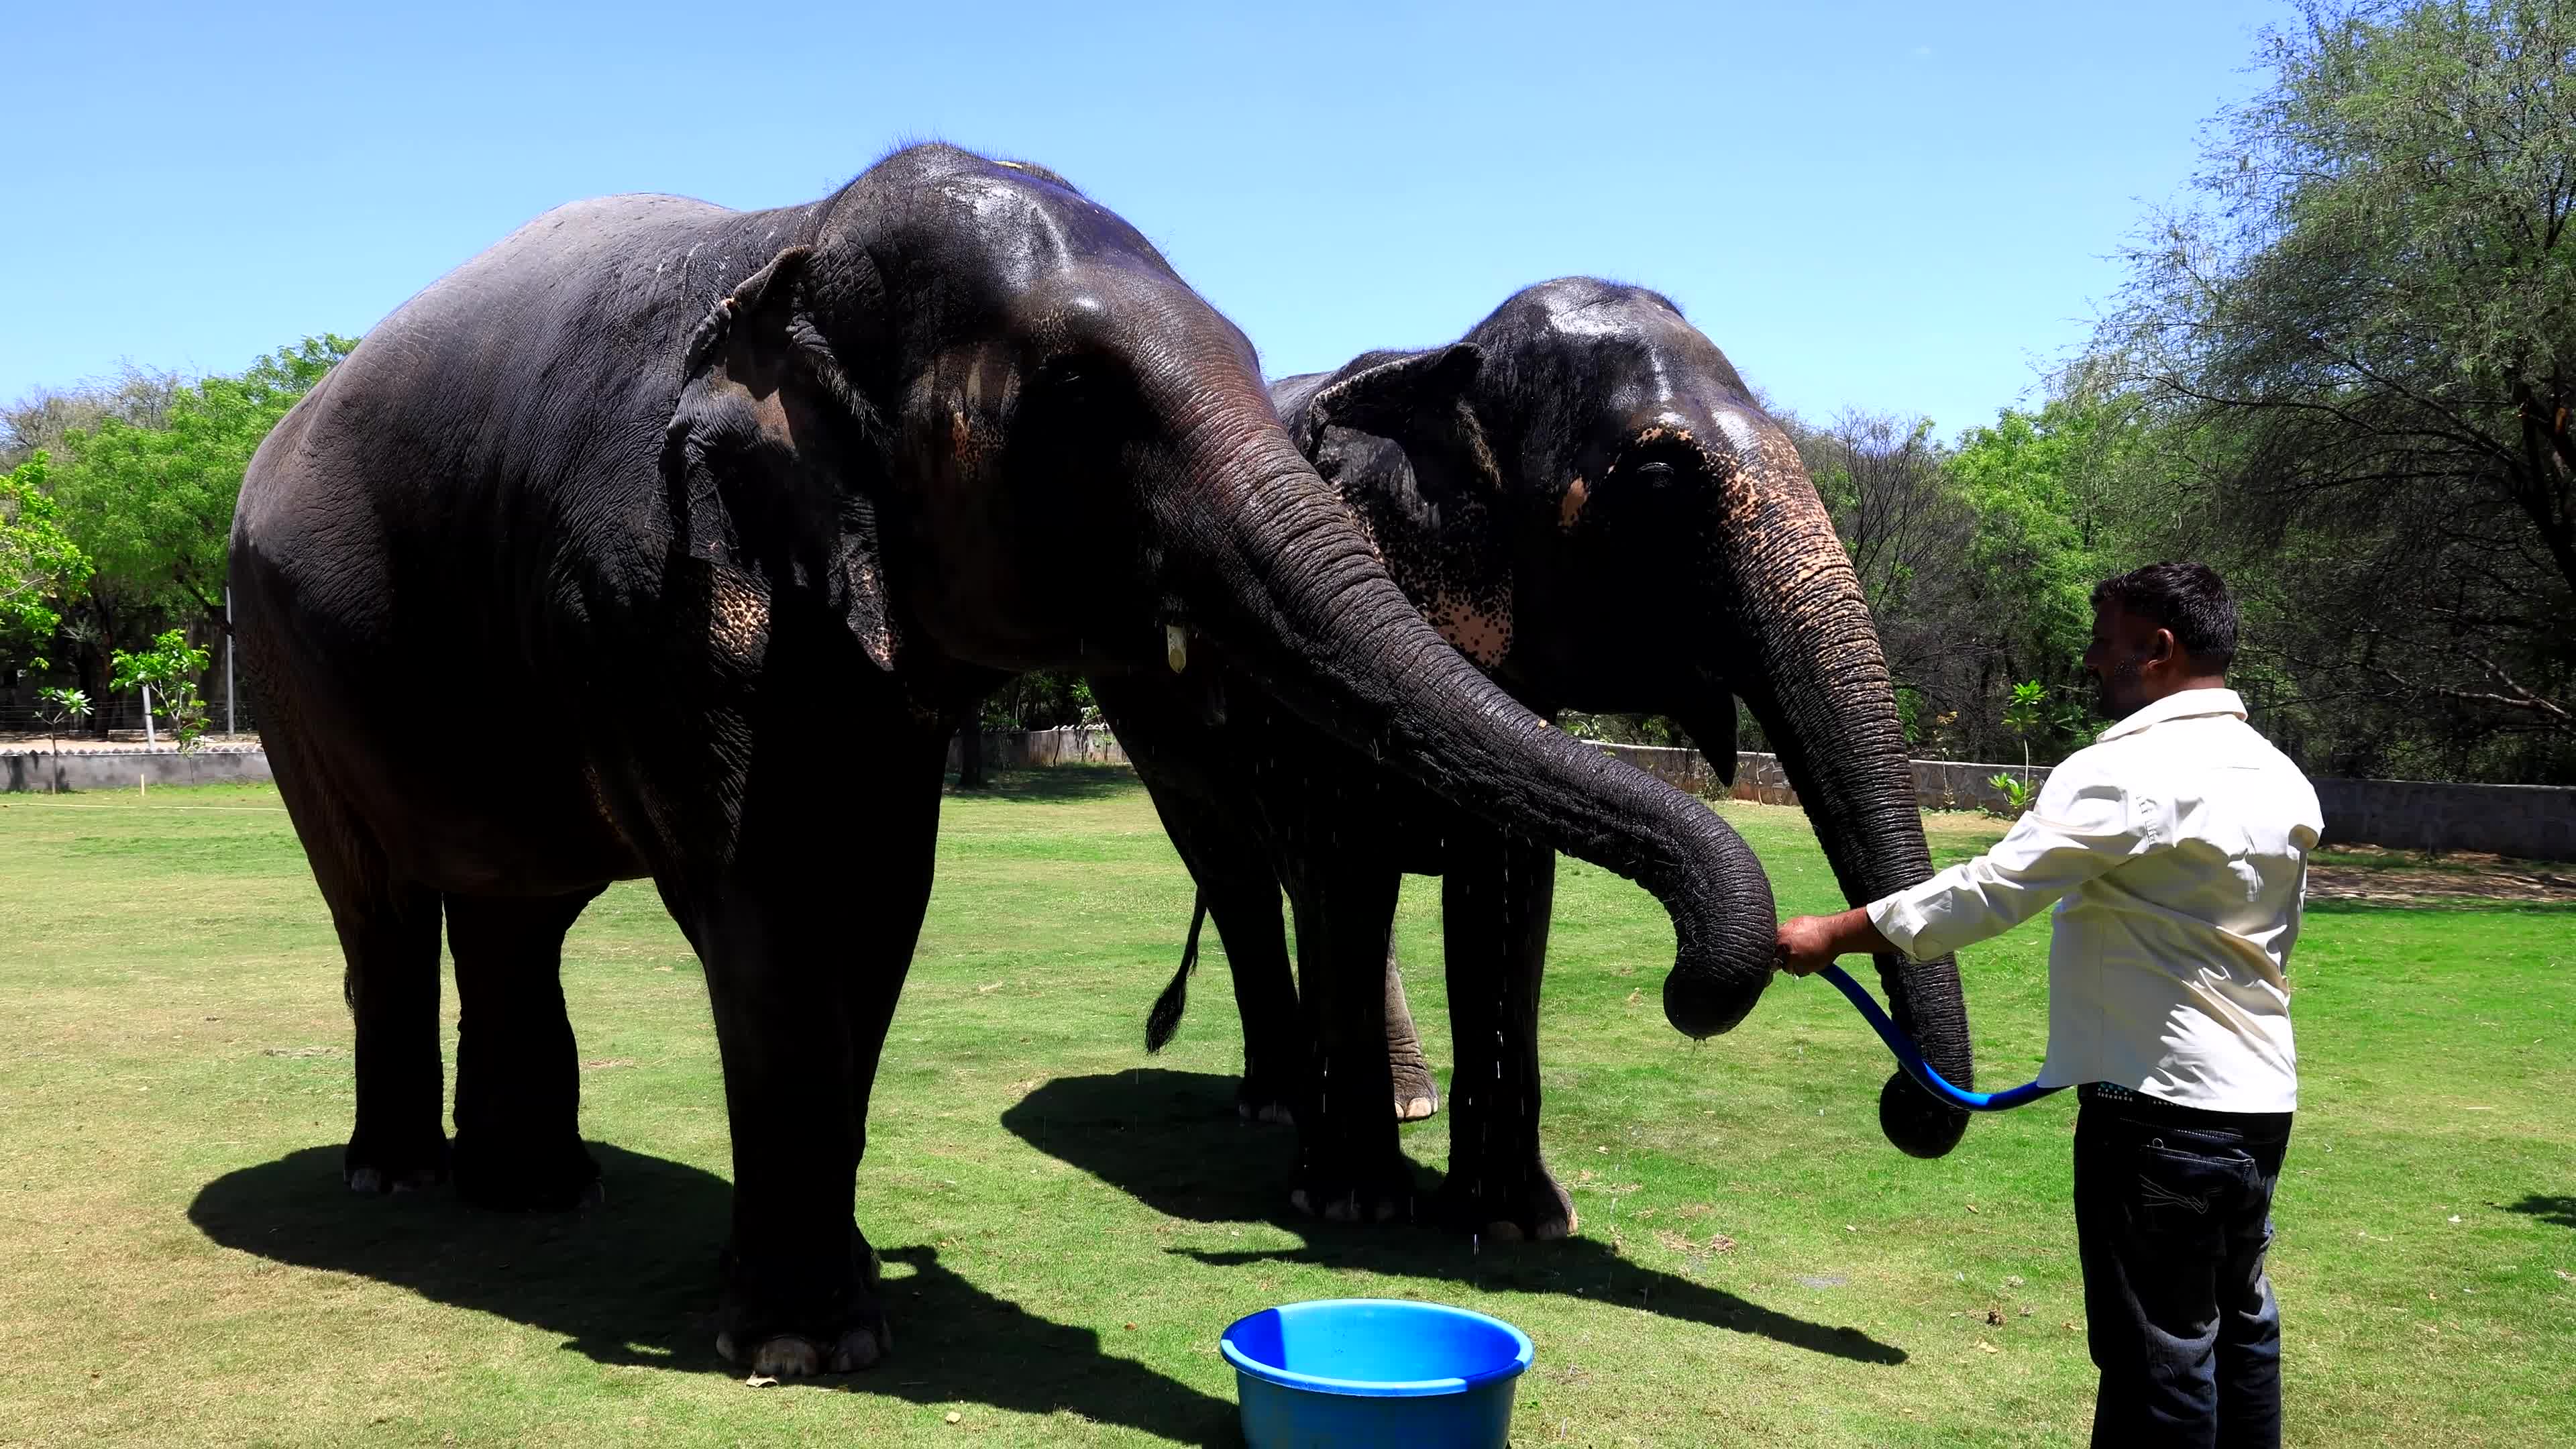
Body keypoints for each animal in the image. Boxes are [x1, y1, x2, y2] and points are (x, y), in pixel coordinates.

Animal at [229, 149, 1787, 1378]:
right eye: (1080, 397)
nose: (1703, 985)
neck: (790, 238)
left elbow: (880, 901)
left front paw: (834, 1306)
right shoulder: (656, 589)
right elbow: (763, 910)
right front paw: (803, 1346)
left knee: (517, 909)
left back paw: (540, 1195)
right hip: (289, 665)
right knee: (381, 906)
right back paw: (399, 1179)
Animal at [1094, 278, 1977, 1240]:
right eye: (1657, 485)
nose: (1903, 1102)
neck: (1445, 359)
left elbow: (1509, 886)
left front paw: (1518, 1224)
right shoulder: (1301, 675)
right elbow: (1346, 865)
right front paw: (1354, 1206)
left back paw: (1402, 1104)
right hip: (1145, 716)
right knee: (1240, 875)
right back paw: (1279, 1108)